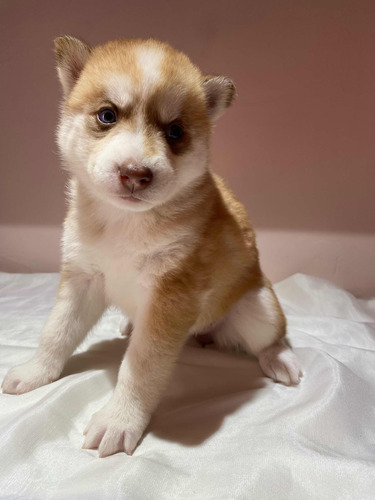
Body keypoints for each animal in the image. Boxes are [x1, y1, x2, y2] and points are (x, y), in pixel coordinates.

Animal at [1, 35, 302, 458]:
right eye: (107, 116)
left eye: (174, 132)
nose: (135, 174)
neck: (124, 224)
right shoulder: (82, 277)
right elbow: (56, 332)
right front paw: (36, 371)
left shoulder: (170, 297)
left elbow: (141, 367)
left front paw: (119, 419)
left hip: (258, 310)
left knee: (272, 337)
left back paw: (280, 359)